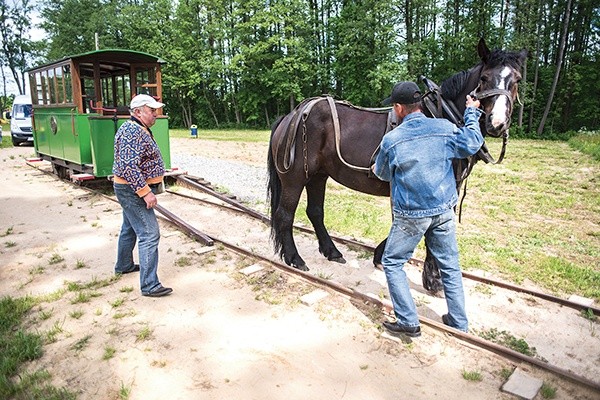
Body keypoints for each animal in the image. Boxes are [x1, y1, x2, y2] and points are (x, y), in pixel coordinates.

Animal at [266, 39, 524, 280]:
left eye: (518, 80)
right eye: (484, 78)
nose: (497, 123)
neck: (441, 116)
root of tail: (291, 116)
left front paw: (383, 256)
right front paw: (432, 278)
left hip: (317, 175)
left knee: (315, 212)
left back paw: (332, 251)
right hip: (295, 178)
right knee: (284, 215)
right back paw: (294, 258)